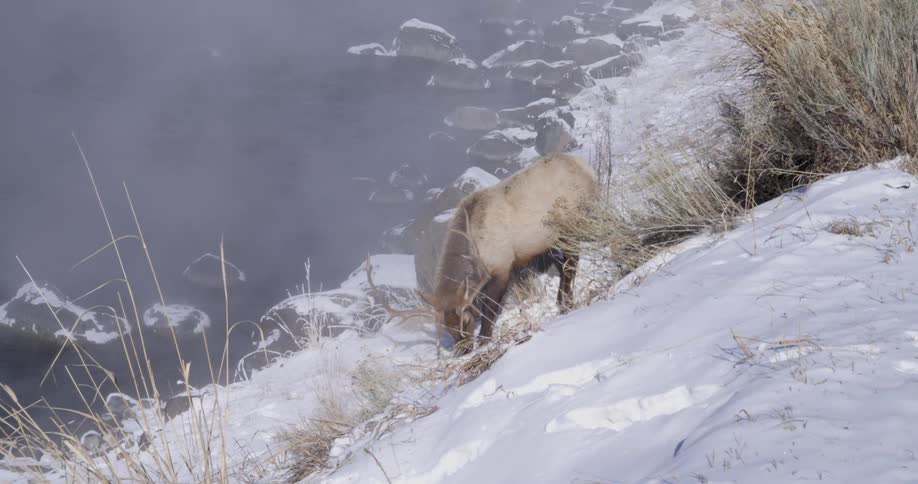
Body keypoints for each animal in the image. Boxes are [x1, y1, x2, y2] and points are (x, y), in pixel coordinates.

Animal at [367, 153, 598, 355]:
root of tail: (586, 168)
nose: (463, 351)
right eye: (446, 327)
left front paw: (484, 339)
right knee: (564, 264)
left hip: (573, 223)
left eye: (466, 320)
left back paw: (566, 303)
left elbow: (490, 309)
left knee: (571, 262)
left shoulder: (502, 267)